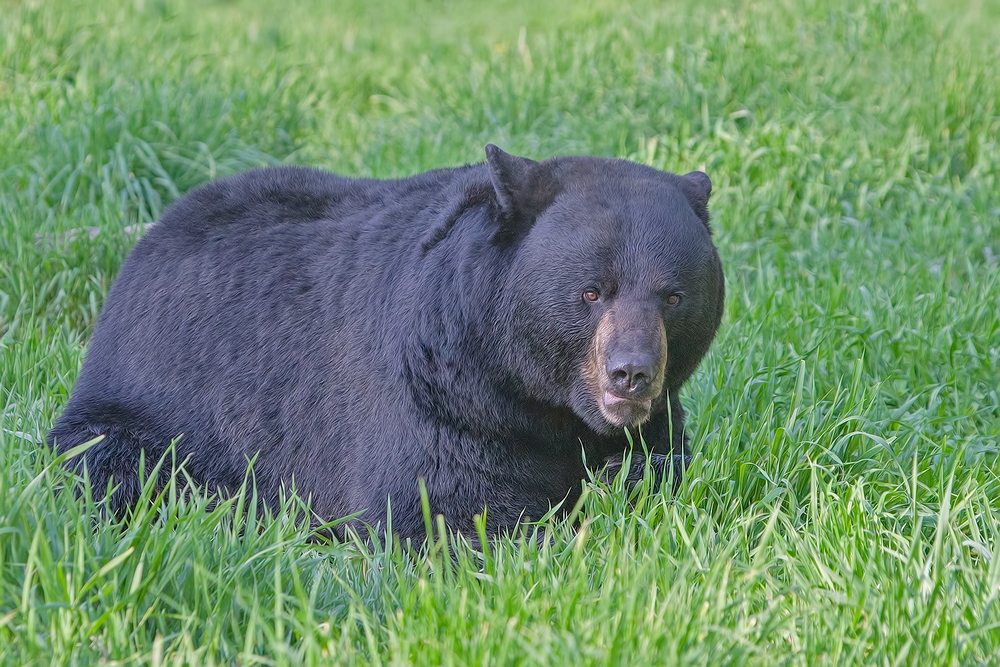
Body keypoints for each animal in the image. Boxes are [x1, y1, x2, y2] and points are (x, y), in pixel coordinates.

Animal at [47, 146, 724, 544]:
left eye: (673, 296)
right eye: (591, 292)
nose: (630, 374)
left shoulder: (654, 418)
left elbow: (659, 470)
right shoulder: (441, 400)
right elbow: (446, 507)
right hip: (151, 413)